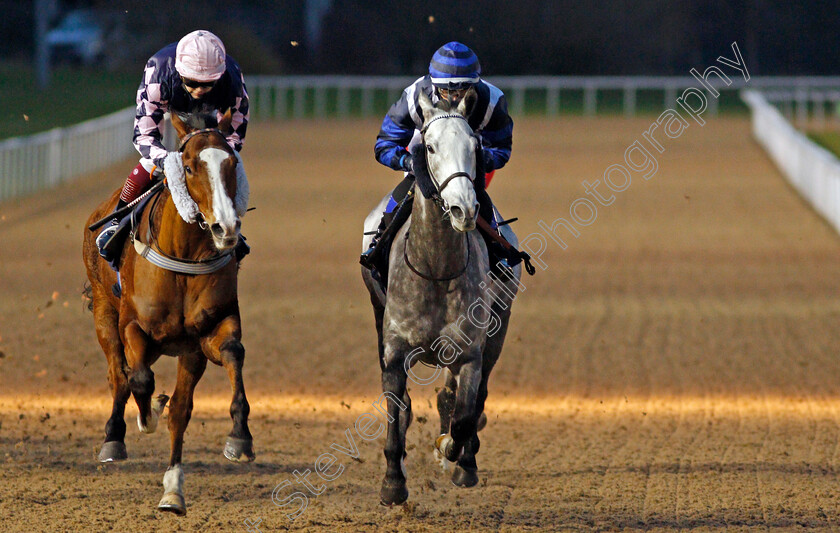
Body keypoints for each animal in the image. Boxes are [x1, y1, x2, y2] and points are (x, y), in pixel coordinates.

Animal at [82, 112, 254, 516]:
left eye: (231, 163)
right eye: (188, 167)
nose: (226, 228)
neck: (183, 258)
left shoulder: (204, 337)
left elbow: (230, 356)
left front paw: (239, 437)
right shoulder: (133, 326)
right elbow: (140, 380)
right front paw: (146, 417)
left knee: (176, 408)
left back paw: (173, 489)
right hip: (103, 313)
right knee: (118, 375)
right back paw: (114, 438)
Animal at [360, 89, 520, 504]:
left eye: (474, 146)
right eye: (428, 146)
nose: (465, 208)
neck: (436, 268)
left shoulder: (470, 353)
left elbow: (463, 417)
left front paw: (452, 451)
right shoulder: (394, 352)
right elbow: (395, 411)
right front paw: (393, 482)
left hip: (499, 328)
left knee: (474, 399)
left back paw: (465, 461)